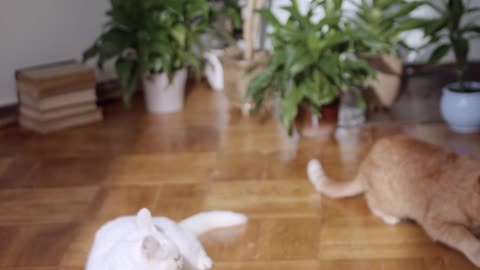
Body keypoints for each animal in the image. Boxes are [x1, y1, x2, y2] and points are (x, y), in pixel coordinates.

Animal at [308, 136, 480, 266]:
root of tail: (364, 165)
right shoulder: (436, 223)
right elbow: (465, 237)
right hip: (389, 201)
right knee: (372, 204)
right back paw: (391, 218)